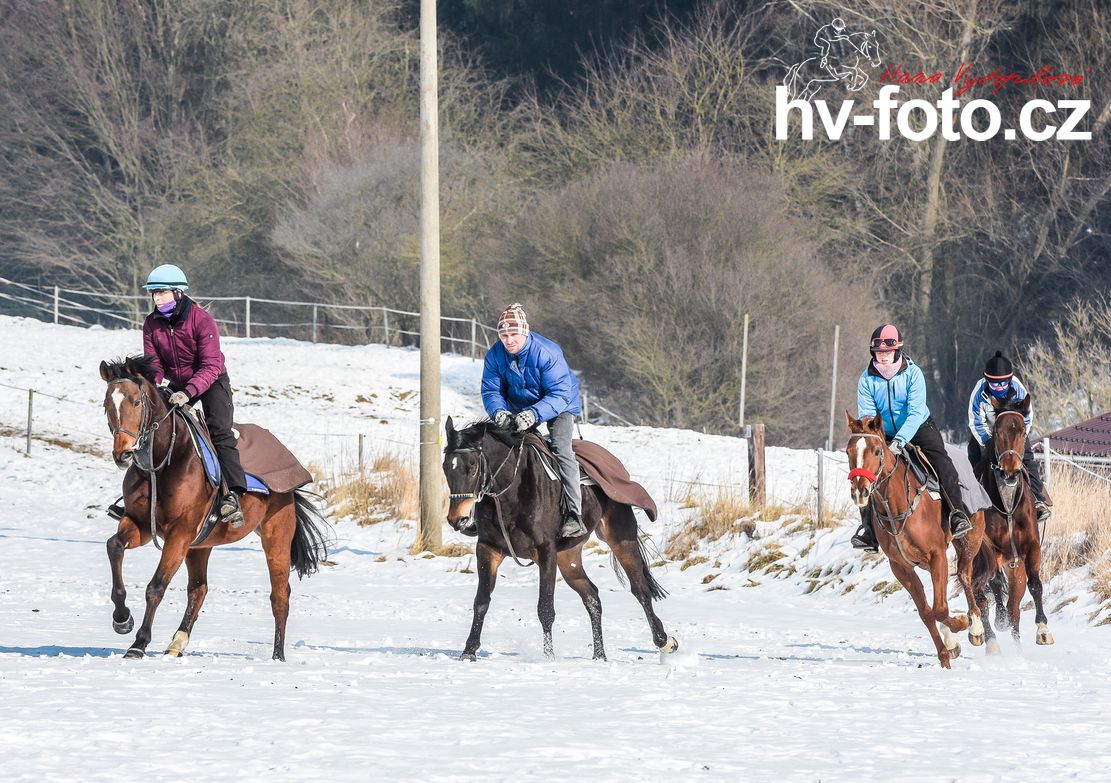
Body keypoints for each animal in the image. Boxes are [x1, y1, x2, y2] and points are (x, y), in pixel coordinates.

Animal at [99, 355, 326, 657]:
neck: (163, 460)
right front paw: (122, 618)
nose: (122, 454)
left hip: (276, 537)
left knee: (280, 595)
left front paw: (139, 643)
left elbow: (156, 586)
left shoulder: (180, 533)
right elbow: (114, 547)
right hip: (200, 545)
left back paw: (277, 656)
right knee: (199, 588)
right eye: (106, 404)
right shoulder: (141, 525)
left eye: (136, 402)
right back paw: (177, 642)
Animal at [442, 415, 675, 657]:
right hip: (568, 557)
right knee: (592, 596)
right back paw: (599, 656)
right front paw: (469, 651)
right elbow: (481, 601)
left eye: (473, 466)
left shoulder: (546, 552)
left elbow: (545, 608)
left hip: (621, 539)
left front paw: (548, 657)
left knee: (640, 590)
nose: (457, 519)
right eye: (445, 467)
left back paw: (663, 641)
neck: (510, 492)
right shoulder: (488, 548)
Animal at [844, 408, 986, 666]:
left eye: (877, 451)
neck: (896, 505)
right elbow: (927, 612)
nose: (860, 491)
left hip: (970, 540)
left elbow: (940, 609)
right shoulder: (901, 567)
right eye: (849, 451)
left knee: (964, 576)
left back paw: (976, 627)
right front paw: (945, 653)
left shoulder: (937, 555)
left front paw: (961, 624)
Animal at [968, 393, 1053, 648]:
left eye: (1023, 432)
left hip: (1016, 568)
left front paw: (1043, 630)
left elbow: (1035, 585)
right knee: (981, 596)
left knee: (1015, 603)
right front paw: (1000, 619)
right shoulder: (989, 548)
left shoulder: (1031, 546)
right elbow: (995, 584)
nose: (1010, 472)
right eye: (997, 432)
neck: (1007, 505)